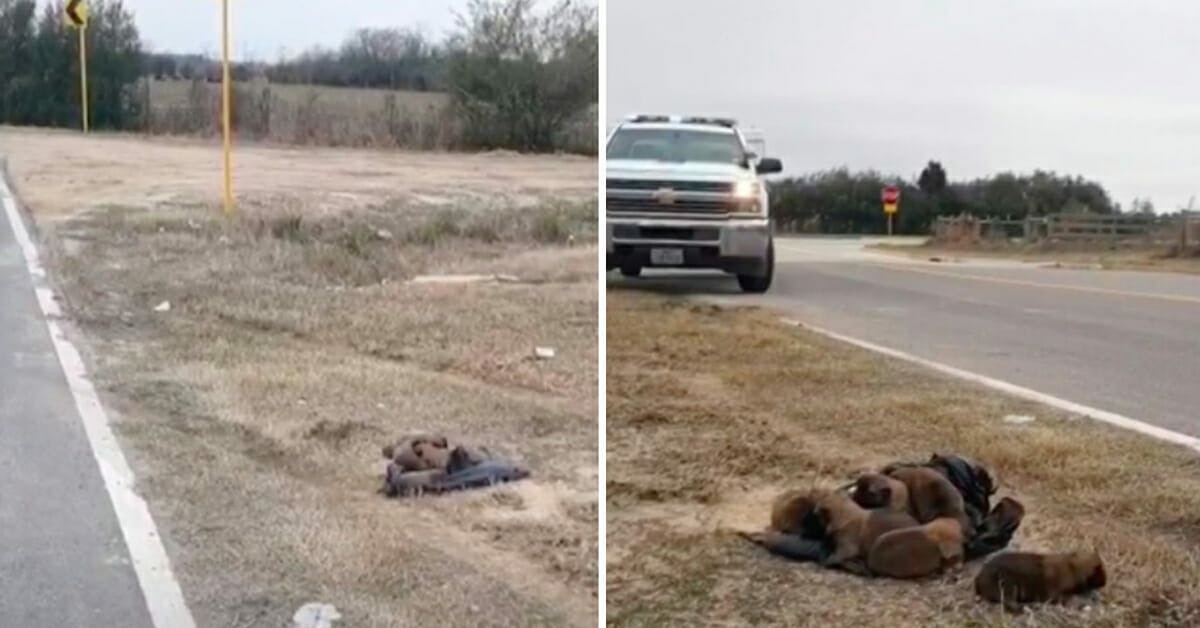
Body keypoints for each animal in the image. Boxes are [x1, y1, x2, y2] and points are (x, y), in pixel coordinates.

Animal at [974, 549, 1104, 609]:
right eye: (1100, 571)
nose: (1104, 582)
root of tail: (978, 577)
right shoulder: (1055, 592)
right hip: (1007, 584)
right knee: (1010, 602)